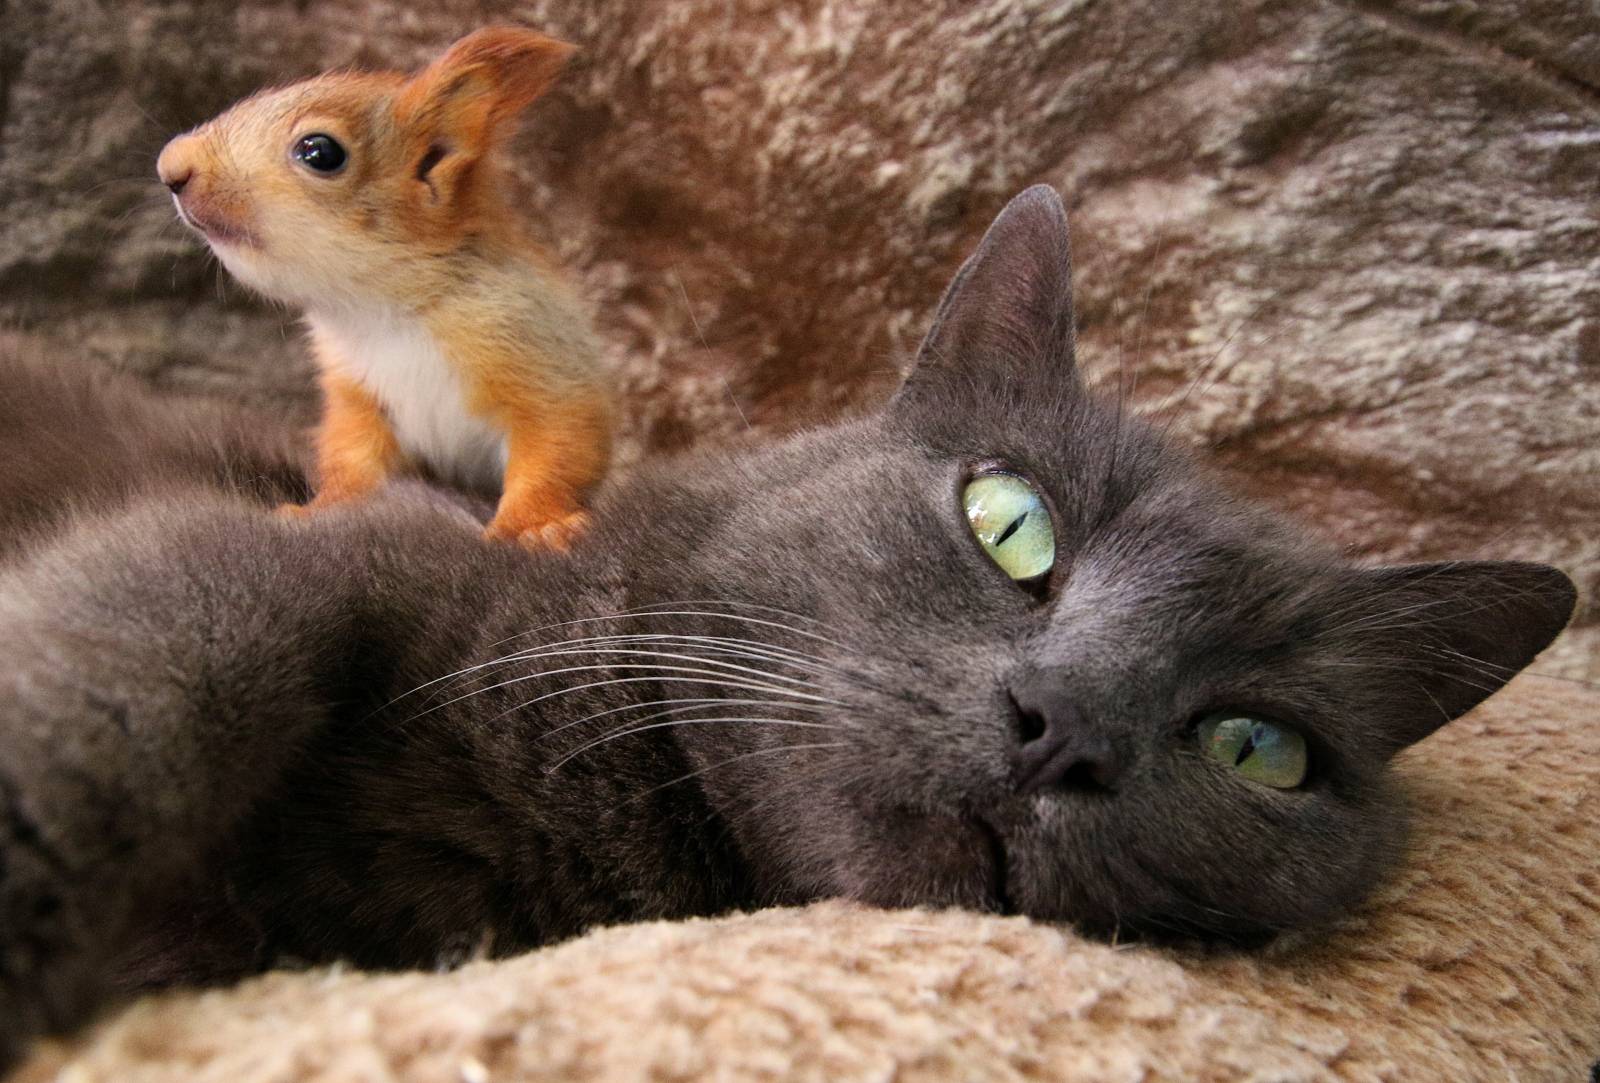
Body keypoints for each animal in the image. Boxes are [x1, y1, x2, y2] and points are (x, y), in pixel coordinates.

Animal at [156, 27, 608, 550]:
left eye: (320, 152)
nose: (170, 166)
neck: (388, 312)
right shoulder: (357, 397)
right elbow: (352, 464)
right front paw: (318, 512)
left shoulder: (543, 361)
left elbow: (556, 448)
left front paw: (532, 525)